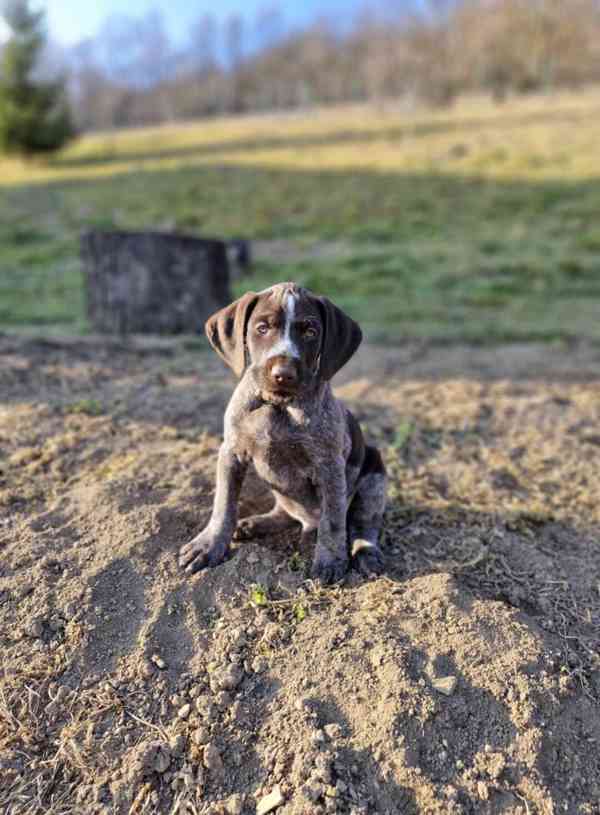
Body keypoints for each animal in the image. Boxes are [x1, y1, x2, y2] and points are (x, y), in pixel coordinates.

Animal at [178, 284, 386, 584]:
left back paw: (366, 553)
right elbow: (223, 505)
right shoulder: (231, 453)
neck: (278, 405)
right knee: (286, 511)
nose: (283, 373)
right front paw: (210, 545)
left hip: (374, 476)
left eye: (310, 332)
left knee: (362, 523)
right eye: (262, 328)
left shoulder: (330, 467)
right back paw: (256, 523)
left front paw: (330, 560)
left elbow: (333, 521)